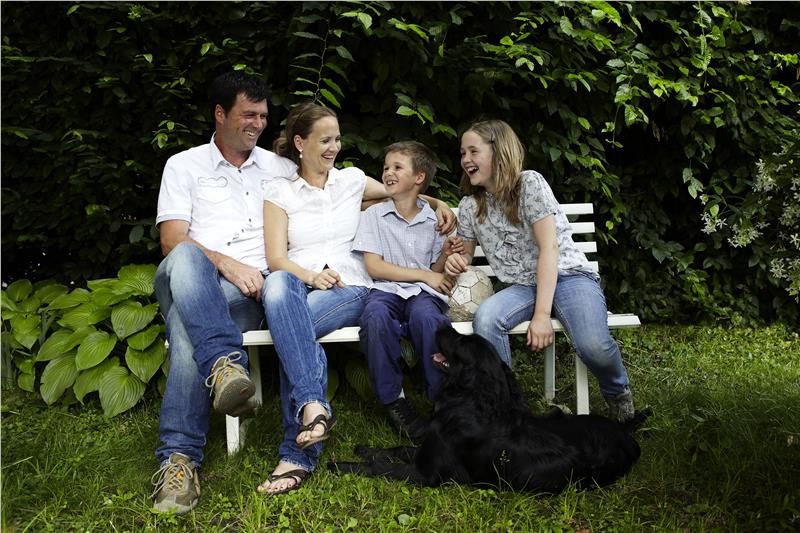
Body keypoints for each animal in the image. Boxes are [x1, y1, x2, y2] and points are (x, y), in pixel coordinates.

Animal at [329, 326, 650, 493]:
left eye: (462, 341)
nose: (442, 324)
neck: (472, 401)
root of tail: (625, 434)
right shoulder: (427, 447)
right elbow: (395, 449)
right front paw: (365, 450)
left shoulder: (428, 474)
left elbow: (384, 467)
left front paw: (341, 465)